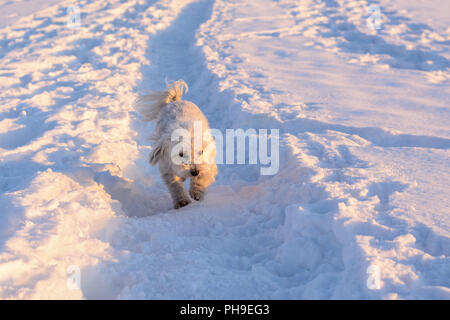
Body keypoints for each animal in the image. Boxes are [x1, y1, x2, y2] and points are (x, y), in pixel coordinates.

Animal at [134, 81, 217, 209]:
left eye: (201, 152)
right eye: (180, 154)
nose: (194, 172)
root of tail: (175, 101)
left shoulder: (208, 161)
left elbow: (203, 176)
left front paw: (197, 192)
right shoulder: (166, 166)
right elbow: (175, 185)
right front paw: (182, 201)